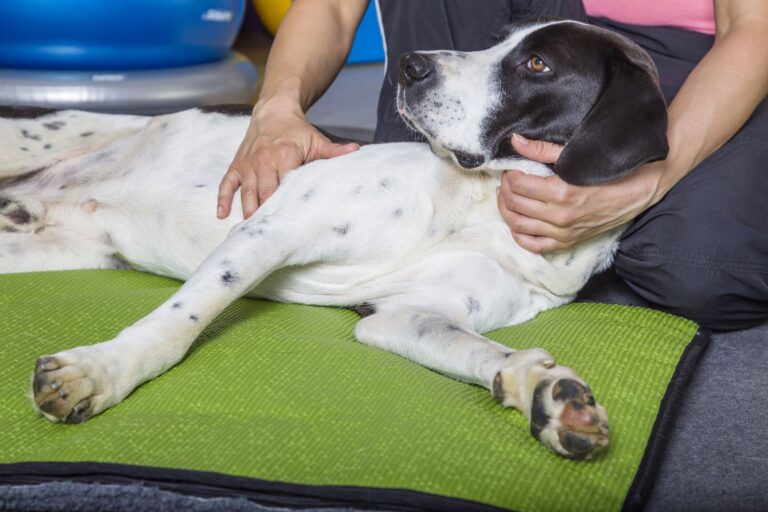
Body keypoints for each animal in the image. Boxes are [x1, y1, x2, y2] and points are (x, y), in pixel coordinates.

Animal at [0, 20, 668, 460]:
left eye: (537, 65)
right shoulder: (271, 230)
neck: (482, 207)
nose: (411, 65)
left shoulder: (405, 316)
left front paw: (545, 394)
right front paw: (102, 371)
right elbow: (177, 323)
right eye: (501, 43)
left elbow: (489, 353)